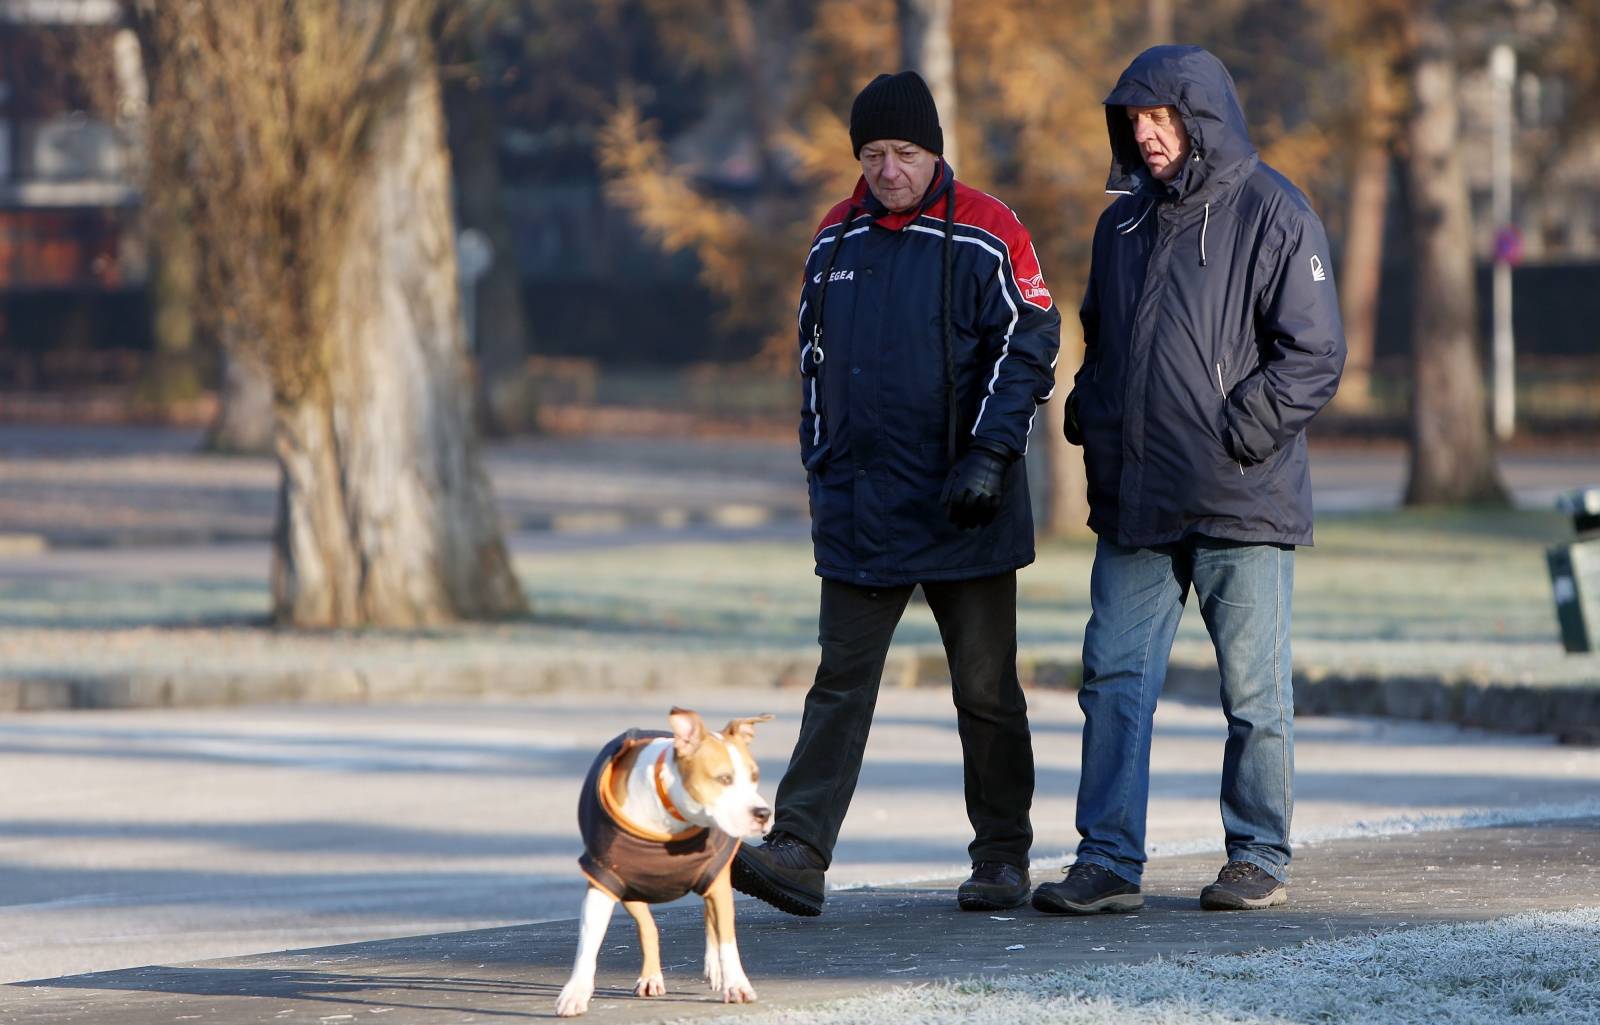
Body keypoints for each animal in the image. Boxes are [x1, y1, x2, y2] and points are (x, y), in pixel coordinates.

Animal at [556, 703, 774, 1017]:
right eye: (724, 779)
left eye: (755, 776)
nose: (763, 813)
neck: (672, 818)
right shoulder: (605, 879)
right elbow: (589, 943)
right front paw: (575, 993)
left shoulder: (715, 876)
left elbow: (726, 937)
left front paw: (736, 984)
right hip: (632, 888)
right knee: (648, 926)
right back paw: (650, 977)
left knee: (711, 920)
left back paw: (715, 969)